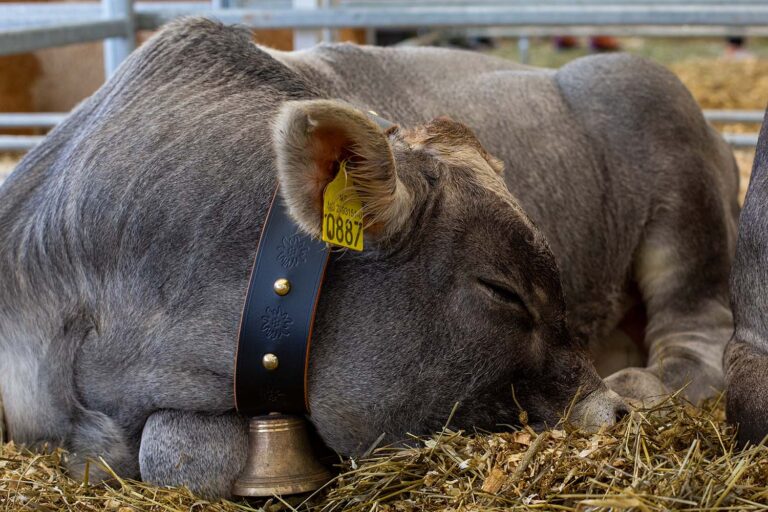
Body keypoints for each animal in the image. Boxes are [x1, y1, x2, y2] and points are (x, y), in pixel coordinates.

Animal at [0, 19, 740, 496]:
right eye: (500, 290)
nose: (610, 415)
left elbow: (175, 451)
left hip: (676, 172)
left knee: (701, 333)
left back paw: (643, 381)